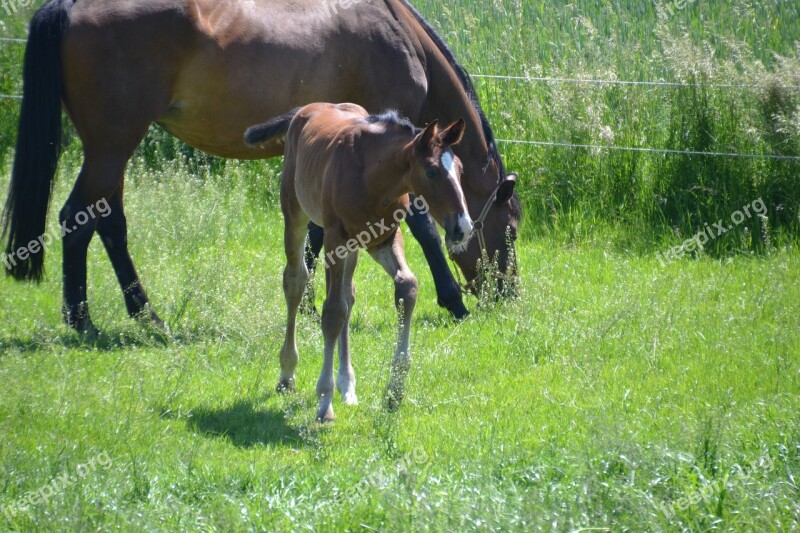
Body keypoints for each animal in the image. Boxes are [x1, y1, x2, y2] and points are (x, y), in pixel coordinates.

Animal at [247, 103, 472, 420]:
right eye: (431, 172)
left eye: (461, 169)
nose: (463, 228)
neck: (373, 175)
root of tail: (307, 109)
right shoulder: (335, 236)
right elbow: (331, 312)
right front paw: (324, 403)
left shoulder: (384, 238)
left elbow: (407, 286)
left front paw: (394, 390)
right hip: (295, 215)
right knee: (295, 282)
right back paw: (287, 374)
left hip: (353, 247)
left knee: (348, 294)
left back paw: (347, 386)